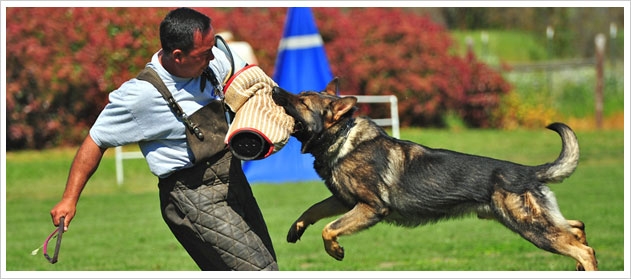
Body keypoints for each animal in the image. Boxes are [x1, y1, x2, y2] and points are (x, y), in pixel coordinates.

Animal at [270, 79, 596, 272]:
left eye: (302, 102)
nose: (274, 90)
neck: (342, 138)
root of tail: (528, 171)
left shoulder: (370, 208)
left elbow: (329, 229)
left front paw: (335, 250)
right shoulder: (343, 200)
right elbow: (313, 210)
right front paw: (296, 228)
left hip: (530, 227)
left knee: (584, 250)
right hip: (527, 221)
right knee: (577, 229)